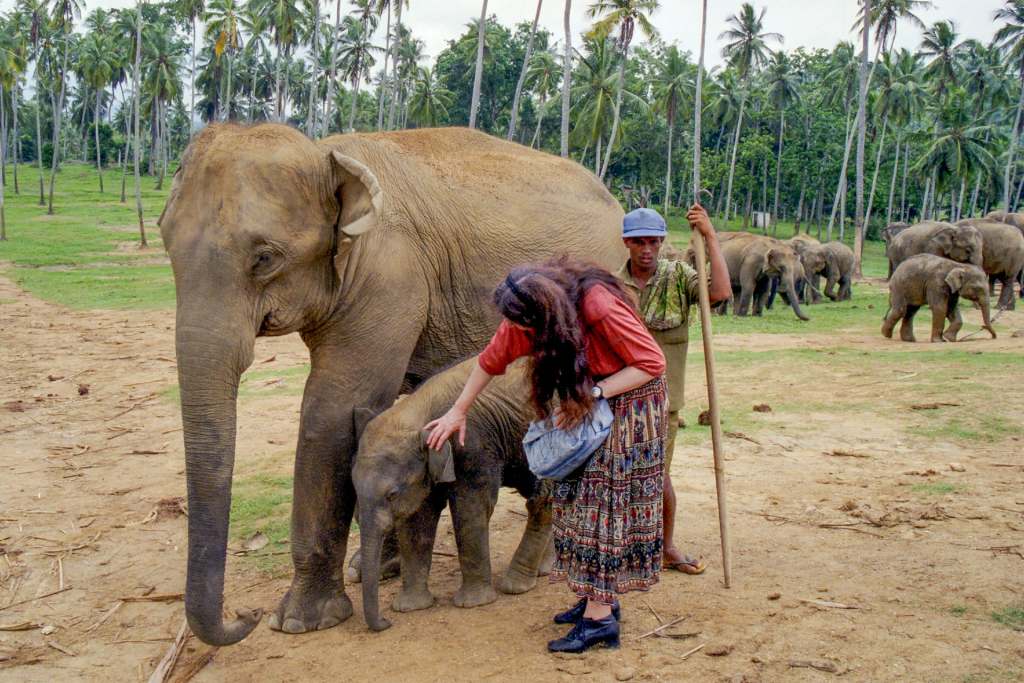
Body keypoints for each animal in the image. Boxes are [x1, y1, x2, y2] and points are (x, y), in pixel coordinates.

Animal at [353, 358, 550, 632]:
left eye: (392, 494)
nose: (385, 622)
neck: (417, 410)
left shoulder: (473, 446)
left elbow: (470, 507)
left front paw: (473, 604)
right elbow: (417, 519)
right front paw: (410, 608)